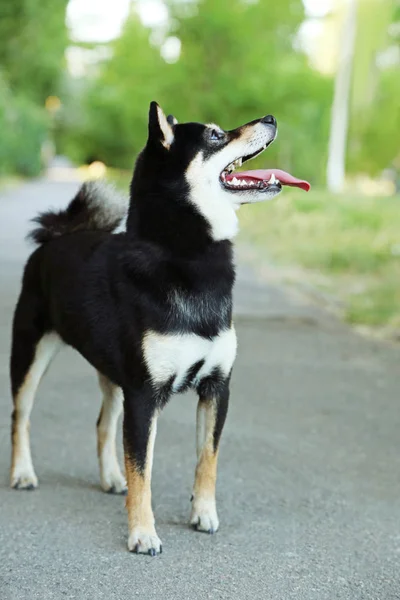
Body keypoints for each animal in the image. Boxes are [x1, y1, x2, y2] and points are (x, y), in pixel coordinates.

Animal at [8, 102, 310, 552]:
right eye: (216, 136)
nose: (270, 118)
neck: (185, 255)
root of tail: (56, 237)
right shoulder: (144, 396)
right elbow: (143, 471)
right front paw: (142, 533)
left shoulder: (215, 388)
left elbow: (207, 460)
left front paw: (203, 514)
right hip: (31, 356)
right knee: (20, 416)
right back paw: (23, 473)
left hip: (112, 377)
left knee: (102, 424)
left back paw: (110, 478)